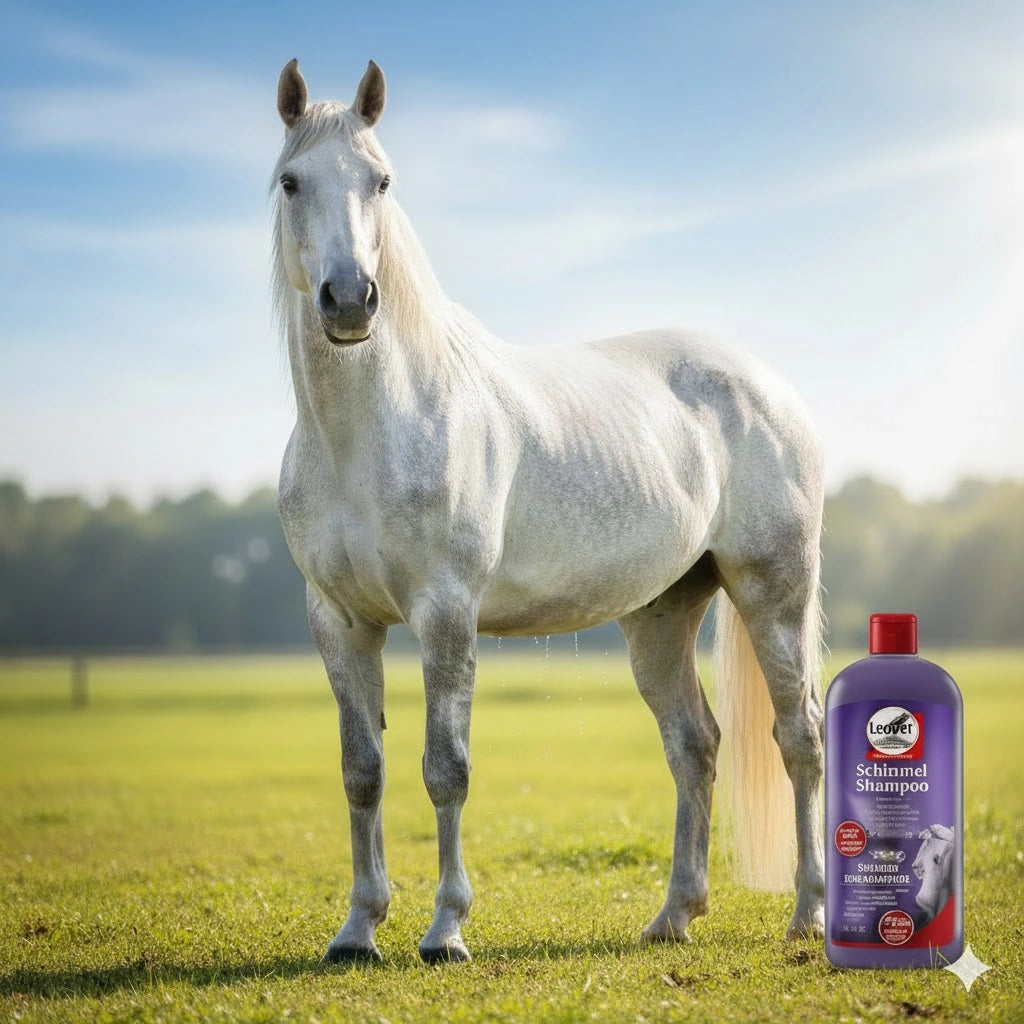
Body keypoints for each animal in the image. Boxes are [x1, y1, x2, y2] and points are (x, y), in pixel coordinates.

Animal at [271, 58, 826, 964]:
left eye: (381, 180)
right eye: (292, 181)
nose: (350, 300)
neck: (370, 432)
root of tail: (767, 384)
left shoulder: (445, 616)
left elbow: (445, 767)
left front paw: (446, 930)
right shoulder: (339, 621)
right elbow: (363, 772)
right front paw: (356, 930)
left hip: (773, 593)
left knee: (799, 739)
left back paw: (808, 915)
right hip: (661, 614)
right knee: (694, 747)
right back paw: (674, 915)